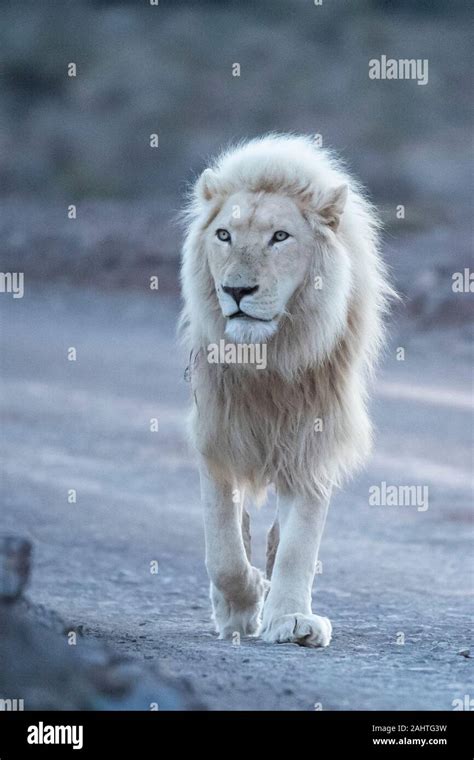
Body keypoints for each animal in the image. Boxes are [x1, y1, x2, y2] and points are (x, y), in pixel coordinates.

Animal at [178, 134, 392, 644]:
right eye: (224, 236)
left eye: (280, 237)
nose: (237, 291)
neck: (270, 359)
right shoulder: (217, 430)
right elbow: (223, 546)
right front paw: (243, 601)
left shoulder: (313, 435)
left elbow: (300, 541)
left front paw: (291, 619)